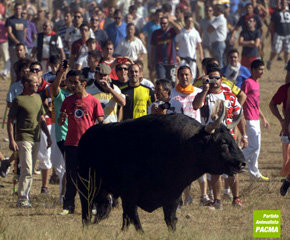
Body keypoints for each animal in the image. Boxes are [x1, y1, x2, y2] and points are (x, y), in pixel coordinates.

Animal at [76, 113, 245, 232]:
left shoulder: (173, 196)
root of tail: (86, 136)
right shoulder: (130, 195)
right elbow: (136, 220)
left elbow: (170, 220)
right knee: (86, 212)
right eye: (223, 142)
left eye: (232, 139)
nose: (242, 163)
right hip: (86, 188)